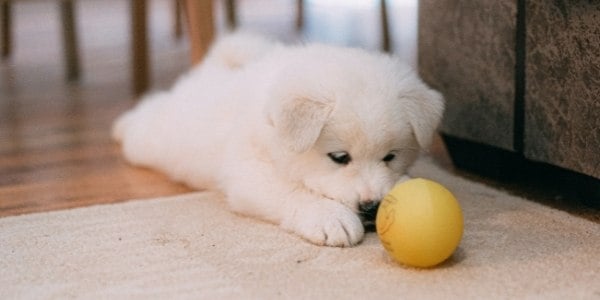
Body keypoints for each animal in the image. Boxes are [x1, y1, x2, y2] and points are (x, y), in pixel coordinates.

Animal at [112, 34, 442, 247]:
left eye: (390, 156)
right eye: (339, 157)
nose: (372, 207)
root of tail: (209, 70)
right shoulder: (248, 173)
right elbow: (291, 191)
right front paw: (330, 217)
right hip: (154, 139)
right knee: (145, 115)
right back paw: (122, 125)